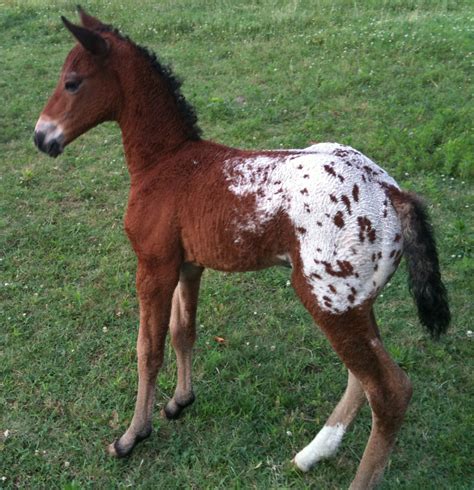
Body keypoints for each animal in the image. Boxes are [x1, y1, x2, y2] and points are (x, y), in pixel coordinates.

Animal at [35, 8, 450, 490]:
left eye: (72, 82)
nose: (41, 137)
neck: (167, 163)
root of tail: (391, 192)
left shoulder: (153, 266)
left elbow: (148, 348)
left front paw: (132, 436)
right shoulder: (189, 265)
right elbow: (184, 331)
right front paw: (180, 402)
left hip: (329, 303)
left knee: (389, 391)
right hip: (352, 303)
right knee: (361, 379)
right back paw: (310, 454)